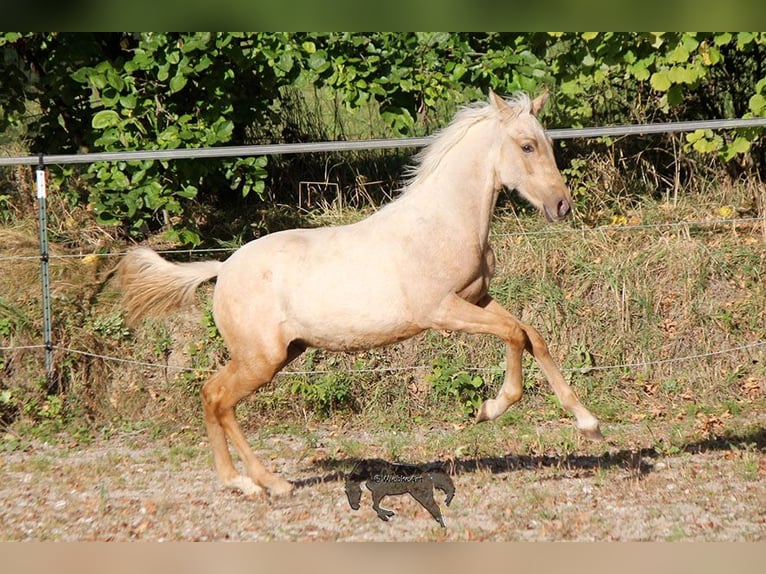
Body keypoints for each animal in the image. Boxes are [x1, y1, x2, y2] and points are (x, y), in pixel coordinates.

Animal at [117, 90, 604, 500]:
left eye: (547, 144)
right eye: (526, 146)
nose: (562, 206)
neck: (442, 222)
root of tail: (221, 269)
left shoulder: (478, 299)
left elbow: (532, 336)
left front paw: (589, 424)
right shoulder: (442, 310)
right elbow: (514, 335)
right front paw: (489, 408)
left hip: (282, 353)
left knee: (213, 397)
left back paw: (248, 481)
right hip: (260, 359)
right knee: (217, 397)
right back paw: (261, 483)